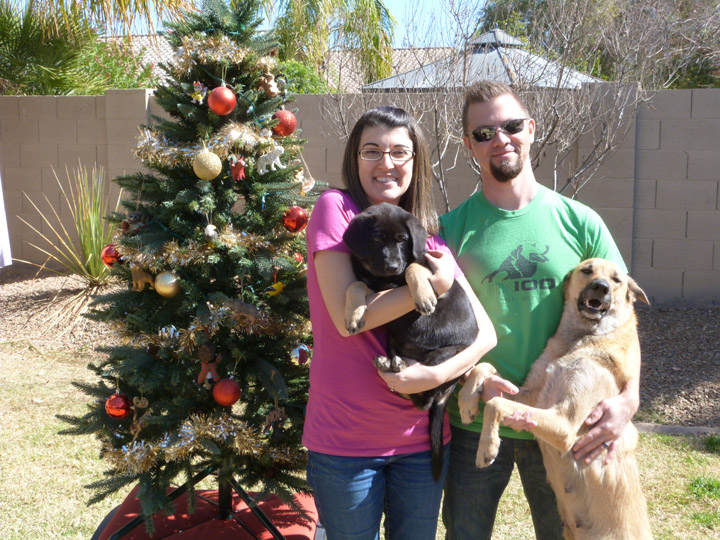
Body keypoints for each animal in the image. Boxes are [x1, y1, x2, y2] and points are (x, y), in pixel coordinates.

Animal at [344, 202, 478, 480]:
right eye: (376, 239)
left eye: (402, 240)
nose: (392, 265)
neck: (385, 280)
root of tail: (446, 394)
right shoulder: (373, 286)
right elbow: (355, 285)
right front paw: (353, 314)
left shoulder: (429, 271)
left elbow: (414, 267)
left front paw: (423, 294)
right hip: (393, 342)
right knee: (416, 397)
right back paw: (391, 364)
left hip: (447, 358)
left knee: (424, 397)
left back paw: (399, 366)